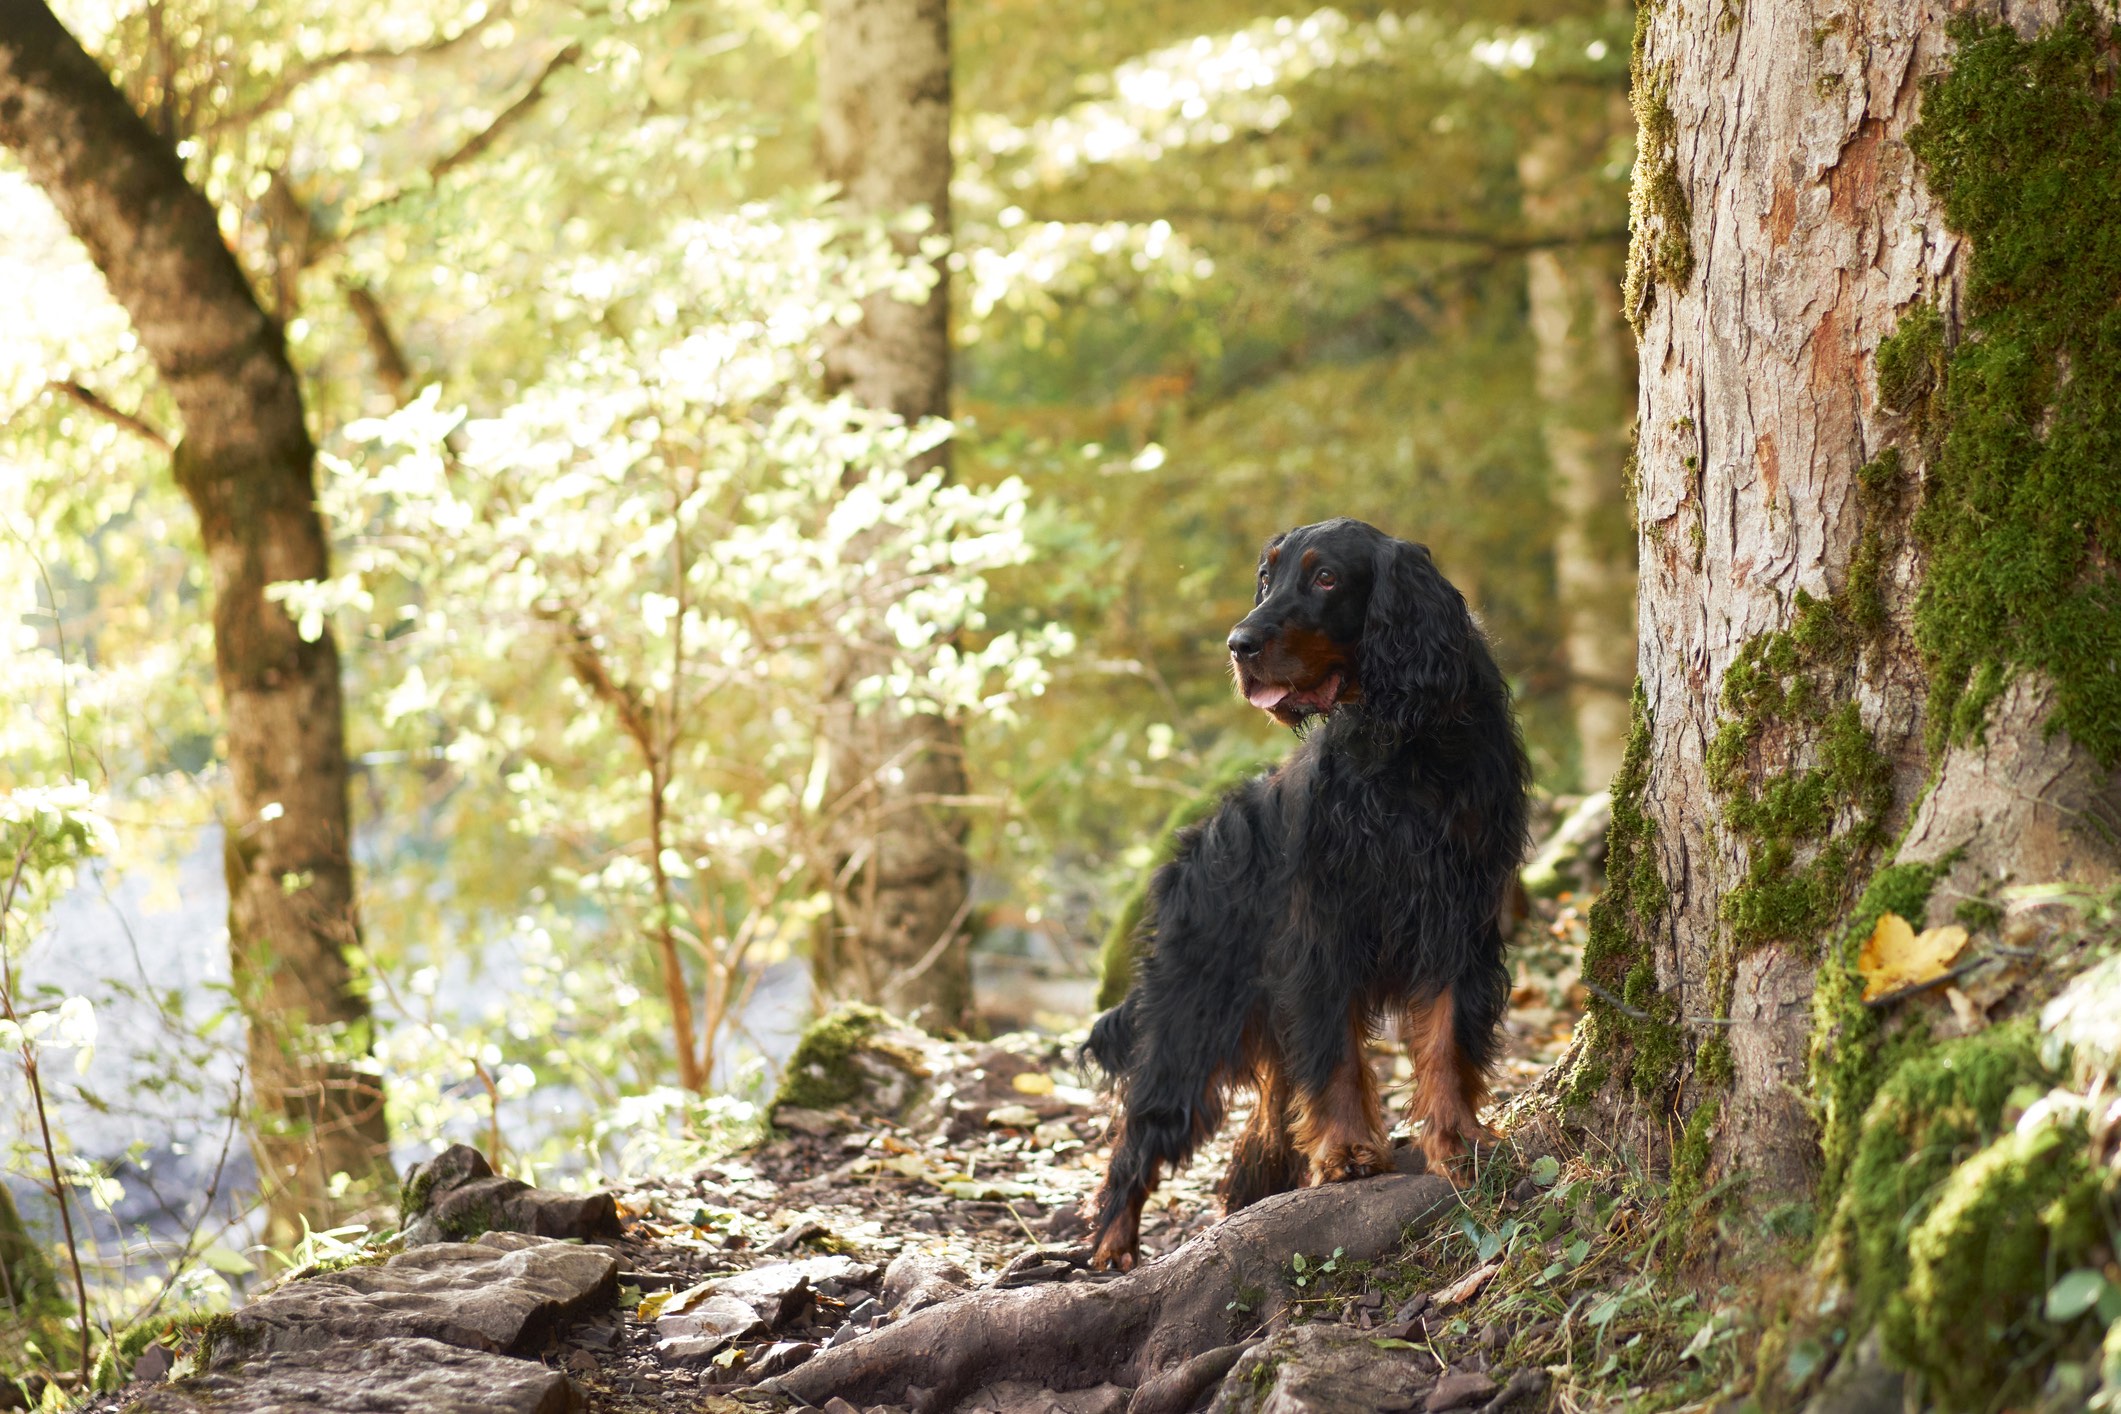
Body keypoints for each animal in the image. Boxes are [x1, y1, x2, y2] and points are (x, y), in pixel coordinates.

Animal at [1094, 517, 1527, 1271]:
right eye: (1266, 577)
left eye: (1326, 578)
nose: (1238, 643)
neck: (1406, 747)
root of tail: (1190, 853)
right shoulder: (1324, 930)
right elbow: (1338, 1058)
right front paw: (1350, 1153)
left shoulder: (1455, 919)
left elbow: (1446, 1038)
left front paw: (1456, 1140)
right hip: (1192, 1009)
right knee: (1141, 1130)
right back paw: (1111, 1246)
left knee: (1263, 1127)